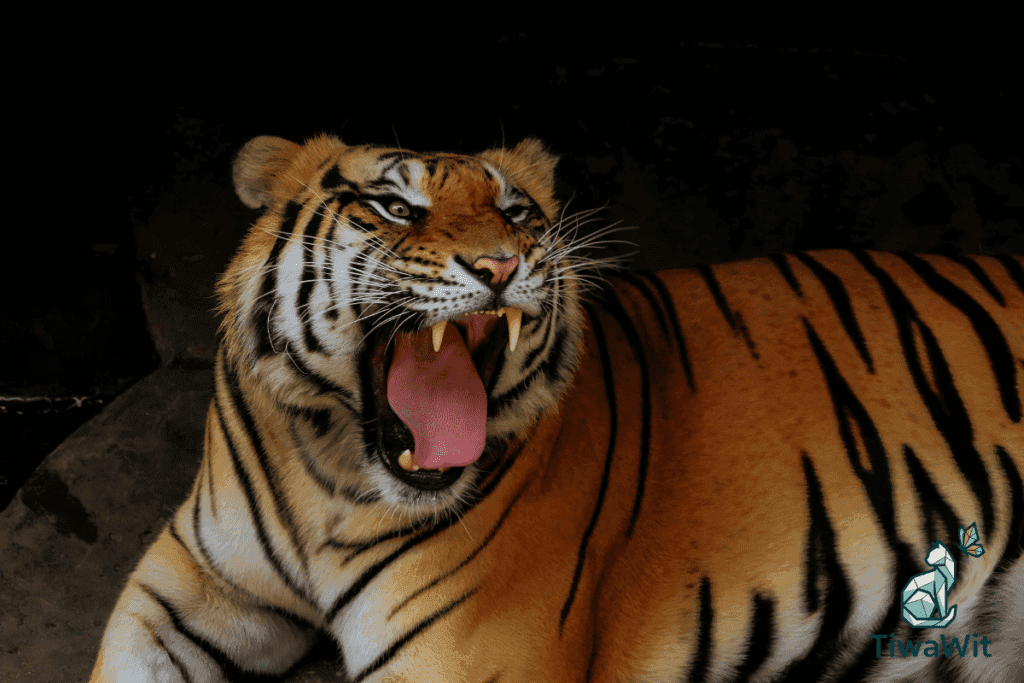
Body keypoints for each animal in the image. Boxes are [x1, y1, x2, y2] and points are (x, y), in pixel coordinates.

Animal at [92, 133, 1024, 683]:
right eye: (395, 206)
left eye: (515, 211)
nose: (502, 264)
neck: (332, 473)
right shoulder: (186, 588)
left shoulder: (463, 659)